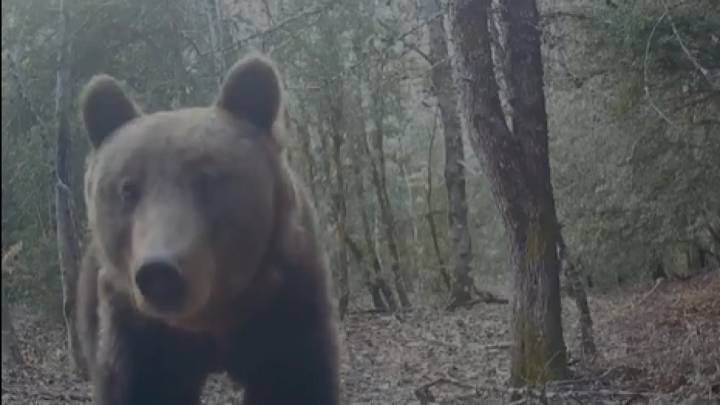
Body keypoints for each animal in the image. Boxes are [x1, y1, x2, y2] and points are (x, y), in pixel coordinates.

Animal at [75, 54, 339, 405]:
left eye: (207, 180)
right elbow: (143, 386)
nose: (160, 272)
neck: (209, 321)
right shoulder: (139, 329)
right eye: (127, 189)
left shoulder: (284, 296)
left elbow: (293, 380)